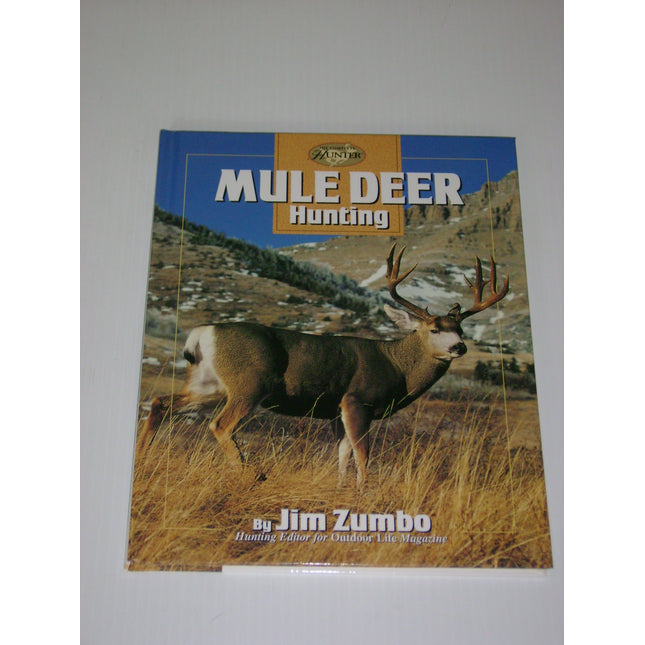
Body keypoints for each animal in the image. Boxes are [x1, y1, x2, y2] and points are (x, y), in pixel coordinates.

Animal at [137, 245, 509, 489]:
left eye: (460, 330)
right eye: (433, 329)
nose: (459, 347)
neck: (398, 367)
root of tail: (204, 332)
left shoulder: (334, 411)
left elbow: (342, 454)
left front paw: (342, 488)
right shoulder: (357, 400)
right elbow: (362, 453)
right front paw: (363, 491)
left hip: (207, 383)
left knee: (162, 402)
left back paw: (141, 457)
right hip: (250, 383)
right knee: (220, 425)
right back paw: (252, 473)